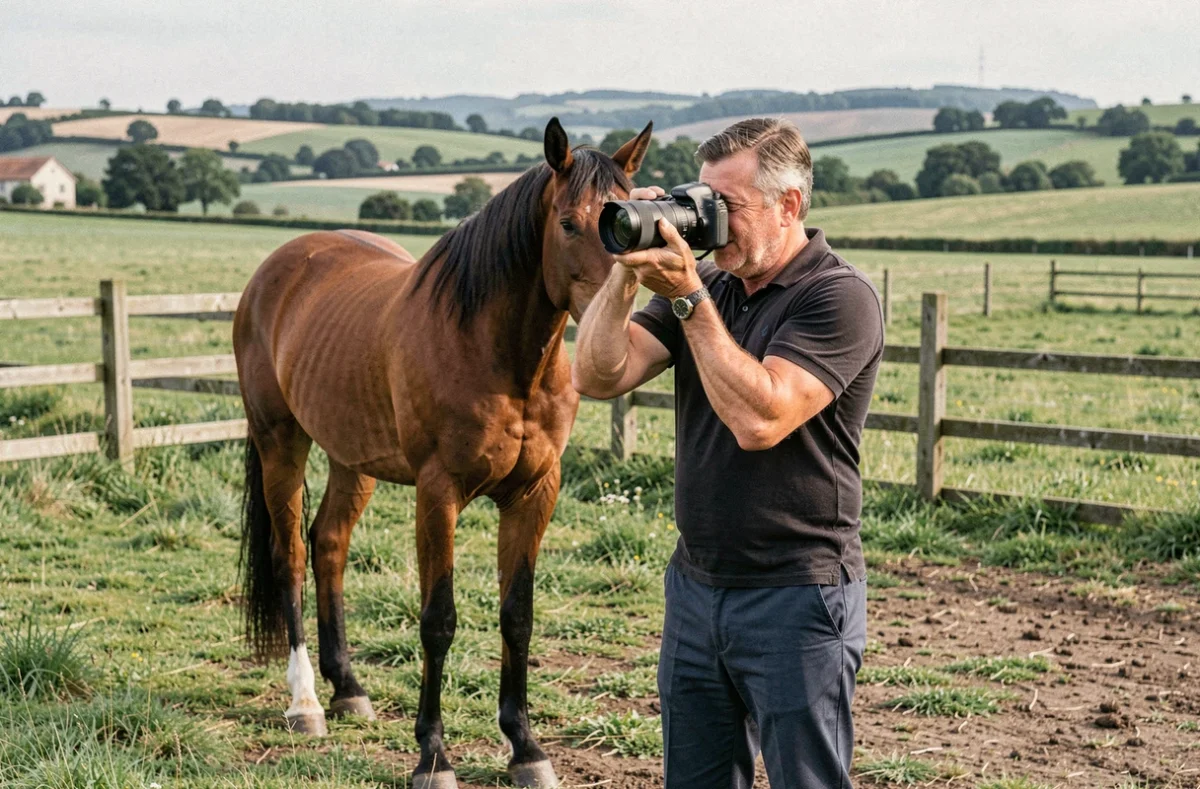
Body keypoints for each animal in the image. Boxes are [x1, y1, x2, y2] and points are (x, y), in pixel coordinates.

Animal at [233, 117, 654, 789]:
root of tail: (280, 266)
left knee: (329, 545)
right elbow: (438, 620)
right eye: (569, 223)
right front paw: (433, 755)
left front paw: (526, 748)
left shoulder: (535, 493)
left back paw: (348, 687)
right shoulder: (439, 494)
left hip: (352, 458)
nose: (612, 321)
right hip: (280, 441)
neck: (497, 353)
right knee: (290, 556)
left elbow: (517, 615)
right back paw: (305, 703)